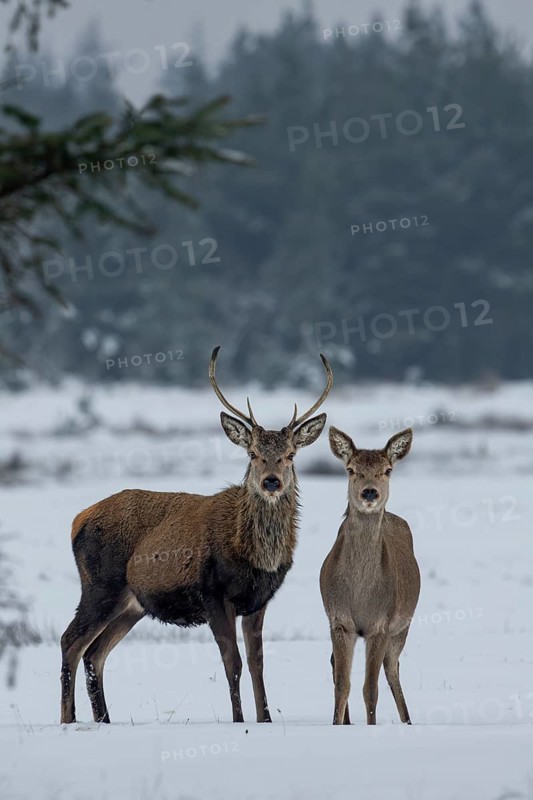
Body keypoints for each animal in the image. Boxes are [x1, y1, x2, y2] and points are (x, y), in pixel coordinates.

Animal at [60, 347, 333, 725]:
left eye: (290, 455)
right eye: (253, 454)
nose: (271, 481)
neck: (252, 554)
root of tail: (77, 520)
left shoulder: (258, 600)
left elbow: (257, 663)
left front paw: (265, 719)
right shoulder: (212, 593)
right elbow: (233, 662)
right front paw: (238, 720)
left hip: (131, 604)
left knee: (94, 653)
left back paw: (104, 721)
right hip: (100, 585)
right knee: (70, 642)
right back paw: (68, 720)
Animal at [320, 426, 420, 726]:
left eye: (387, 470)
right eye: (351, 469)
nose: (369, 493)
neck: (361, 592)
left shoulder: (381, 624)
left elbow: (370, 689)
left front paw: (370, 726)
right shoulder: (339, 621)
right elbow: (343, 684)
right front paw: (336, 724)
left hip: (402, 626)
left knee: (392, 667)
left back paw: (407, 720)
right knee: (334, 663)